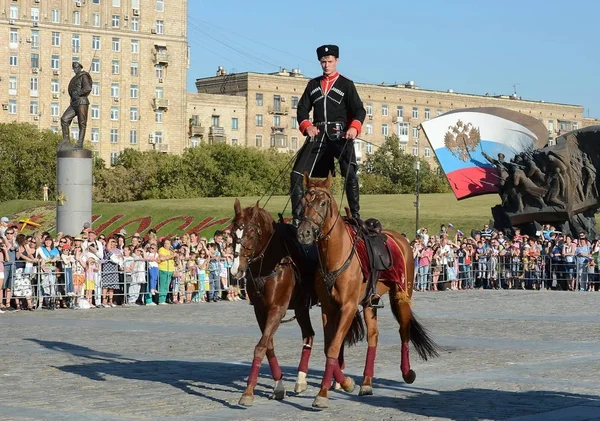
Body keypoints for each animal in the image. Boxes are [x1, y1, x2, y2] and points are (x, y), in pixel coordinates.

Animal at [231, 200, 322, 406]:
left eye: (250, 233)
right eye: (232, 234)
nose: (235, 270)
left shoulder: (277, 309)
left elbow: (260, 347)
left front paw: (248, 391)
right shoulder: (260, 311)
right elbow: (268, 345)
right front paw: (279, 386)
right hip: (302, 308)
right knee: (309, 335)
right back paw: (301, 379)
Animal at [298, 173, 438, 406]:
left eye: (323, 203)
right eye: (303, 202)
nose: (304, 233)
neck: (335, 255)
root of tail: (400, 239)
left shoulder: (347, 307)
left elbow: (334, 346)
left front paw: (323, 393)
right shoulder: (328, 308)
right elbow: (330, 347)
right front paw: (344, 382)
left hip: (401, 294)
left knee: (404, 331)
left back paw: (407, 372)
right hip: (370, 302)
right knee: (373, 336)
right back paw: (366, 382)